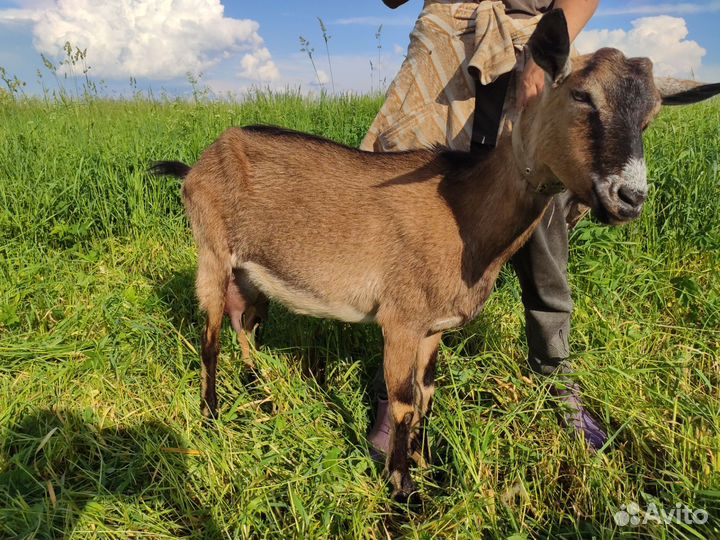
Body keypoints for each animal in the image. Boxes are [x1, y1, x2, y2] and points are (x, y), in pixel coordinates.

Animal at [152, 10, 720, 501]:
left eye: (650, 117)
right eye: (582, 95)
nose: (629, 197)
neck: (463, 215)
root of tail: (197, 165)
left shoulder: (433, 328)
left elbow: (426, 393)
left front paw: (425, 467)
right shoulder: (400, 319)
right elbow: (404, 400)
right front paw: (403, 491)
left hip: (252, 272)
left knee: (243, 323)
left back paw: (262, 392)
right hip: (211, 251)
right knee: (210, 336)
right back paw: (212, 415)